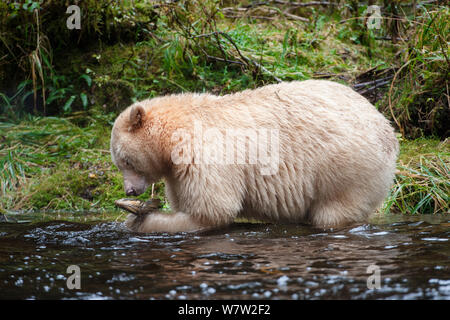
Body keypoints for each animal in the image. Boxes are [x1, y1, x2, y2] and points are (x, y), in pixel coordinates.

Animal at [110, 80, 400, 232]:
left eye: (126, 160)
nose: (130, 191)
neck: (176, 135)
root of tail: (387, 128)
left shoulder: (205, 155)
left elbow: (211, 211)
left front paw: (138, 218)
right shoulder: (177, 171)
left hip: (346, 168)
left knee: (334, 211)